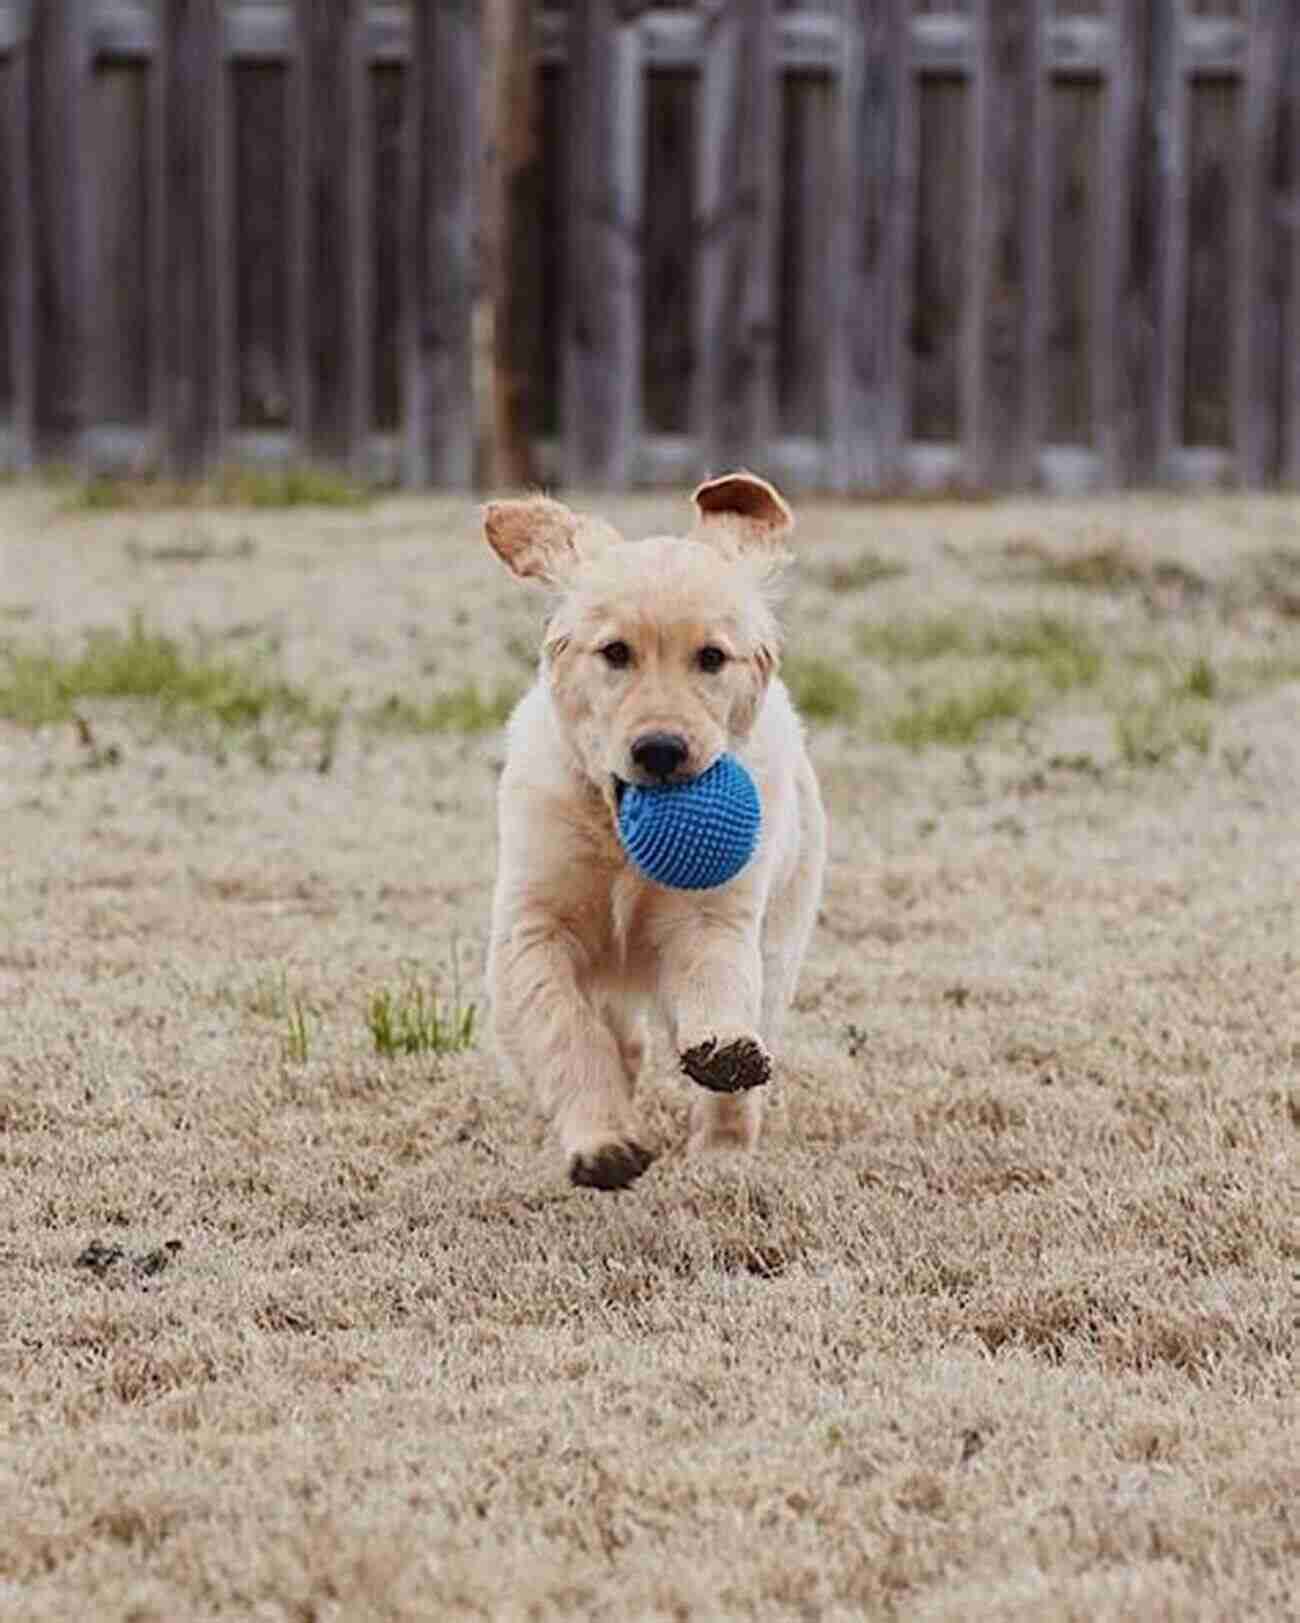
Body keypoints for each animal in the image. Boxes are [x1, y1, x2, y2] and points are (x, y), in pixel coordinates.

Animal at [480, 473, 827, 1194]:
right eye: (615, 652)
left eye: (712, 657)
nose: (662, 749)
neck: (619, 840)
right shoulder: (531, 930)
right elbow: (565, 1030)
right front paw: (602, 1140)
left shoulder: (715, 912)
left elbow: (717, 980)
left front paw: (724, 1053)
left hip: (783, 934)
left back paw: (725, 1150)